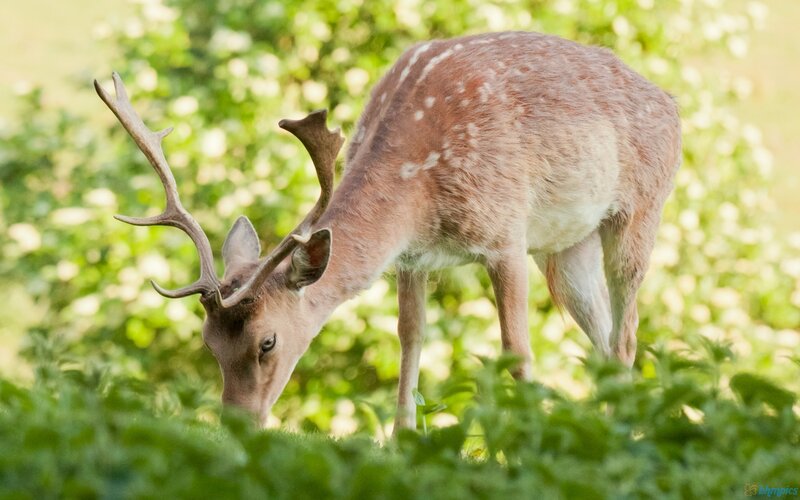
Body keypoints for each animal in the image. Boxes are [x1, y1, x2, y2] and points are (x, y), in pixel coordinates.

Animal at [95, 31, 681, 432]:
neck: (419, 191)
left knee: (627, 332)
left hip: (640, 208)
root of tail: (673, 103)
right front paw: (403, 437)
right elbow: (410, 335)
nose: (237, 426)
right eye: (207, 343)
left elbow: (515, 348)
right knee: (602, 335)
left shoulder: (506, 234)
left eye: (267, 342)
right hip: (566, 245)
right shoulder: (412, 257)